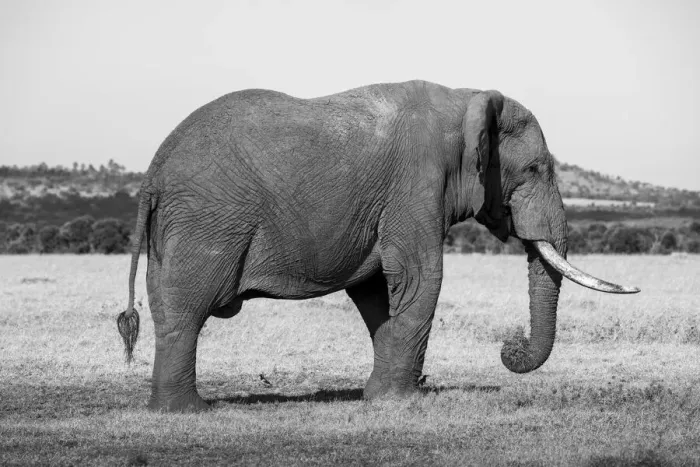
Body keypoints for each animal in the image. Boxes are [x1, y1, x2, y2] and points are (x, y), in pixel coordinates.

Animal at [117, 80, 639, 412]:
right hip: (207, 221)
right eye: (533, 170)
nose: (509, 348)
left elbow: (375, 292)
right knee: (187, 310)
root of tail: (152, 172)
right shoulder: (417, 185)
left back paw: (169, 410)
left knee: (167, 307)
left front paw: (379, 397)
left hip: (178, 227)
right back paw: (188, 413)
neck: (465, 98)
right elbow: (419, 277)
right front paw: (400, 401)